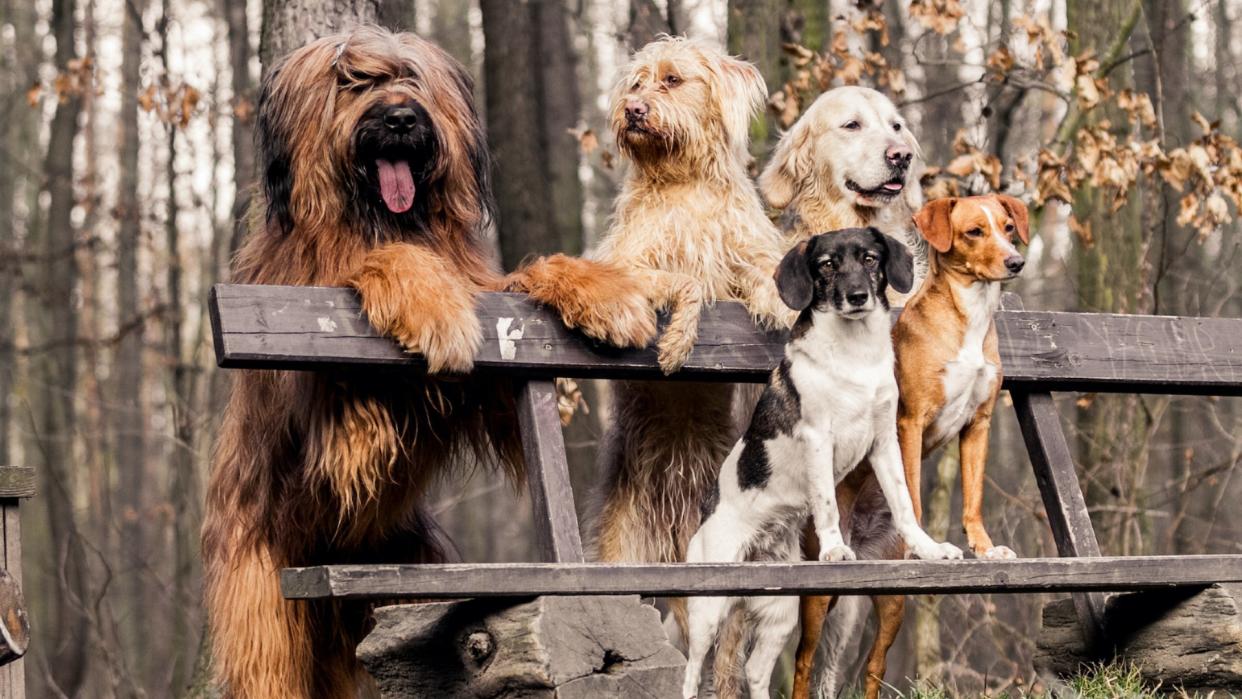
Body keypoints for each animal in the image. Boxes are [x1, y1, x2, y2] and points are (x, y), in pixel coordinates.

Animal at [198, 28, 655, 699]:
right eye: (351, 81)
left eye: (411, 78)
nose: (400, 118)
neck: (381, 221)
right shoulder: (332, 425)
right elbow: (383, 268)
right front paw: (429, 300)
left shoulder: (495, 372)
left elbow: (517, 292)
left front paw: (603, 291)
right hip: (263, 603)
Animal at [680, 229, 958, 699]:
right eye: (827, 265)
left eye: (870, 258)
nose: (857, 295)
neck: (854, 354)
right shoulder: (818, 439)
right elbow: (827, 504)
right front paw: (834, 549)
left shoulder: (884, 443)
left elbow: (904, 505)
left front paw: (929, 549)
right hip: (709, 611)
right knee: (692, 669)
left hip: (780, 612)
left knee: (755, 670)